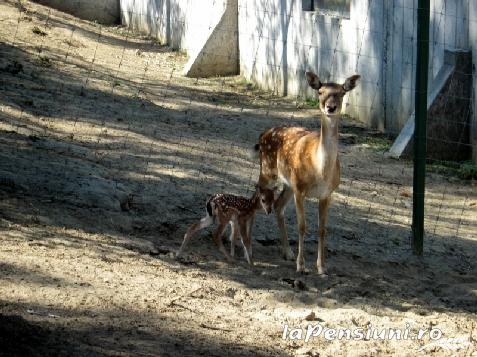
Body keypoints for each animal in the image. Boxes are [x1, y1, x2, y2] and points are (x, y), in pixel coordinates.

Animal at [253, 71, 356, 272]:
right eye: (320, 92)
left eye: (341, 92)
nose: (330, 107)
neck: (320, 171)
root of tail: (262, 134)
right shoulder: (300, 190)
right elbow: (302, 226)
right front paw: (301, 266)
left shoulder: (326, 194)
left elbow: (322, 229)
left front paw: (321, 267)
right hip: (268, 171)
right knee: (256, 194)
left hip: (288, 183)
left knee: (278, 206)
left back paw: (287, 252)